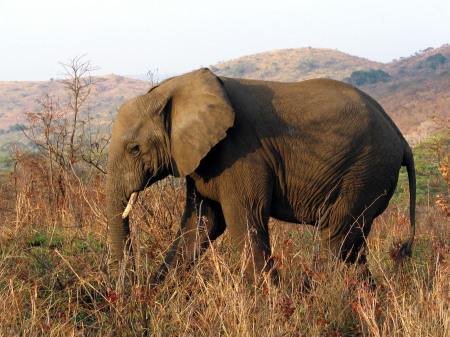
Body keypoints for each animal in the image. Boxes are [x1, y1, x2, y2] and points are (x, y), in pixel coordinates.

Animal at [105, 67, 414, 282]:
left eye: (134, 149)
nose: (131, 289)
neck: (175, 88)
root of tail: (401, 137)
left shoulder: (240, 152)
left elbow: (245, 218)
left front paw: (268, 305)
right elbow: (201, 223)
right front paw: (155, 291)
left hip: (364, 171)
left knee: (336, 236)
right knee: (354, 244)